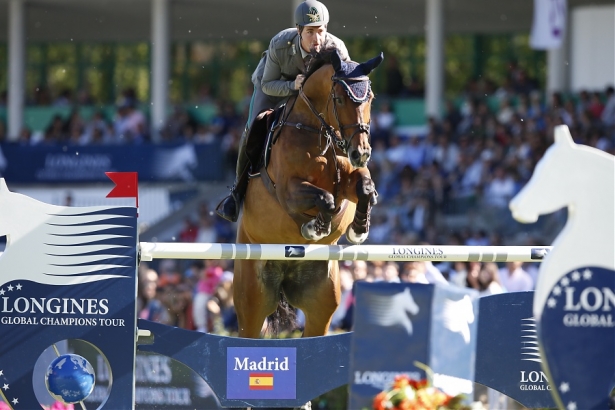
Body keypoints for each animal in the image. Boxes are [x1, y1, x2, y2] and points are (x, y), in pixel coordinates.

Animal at [233, 48, 382, 338]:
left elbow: (364, 188)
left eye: (369, 98)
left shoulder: (349, 180)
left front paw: (358, 229)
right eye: (339, 99)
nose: (361, 153)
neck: (317, 131)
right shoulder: (289, 191)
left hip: (322, 298)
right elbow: (325, 199)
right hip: (252, 299)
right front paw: (316, 227)